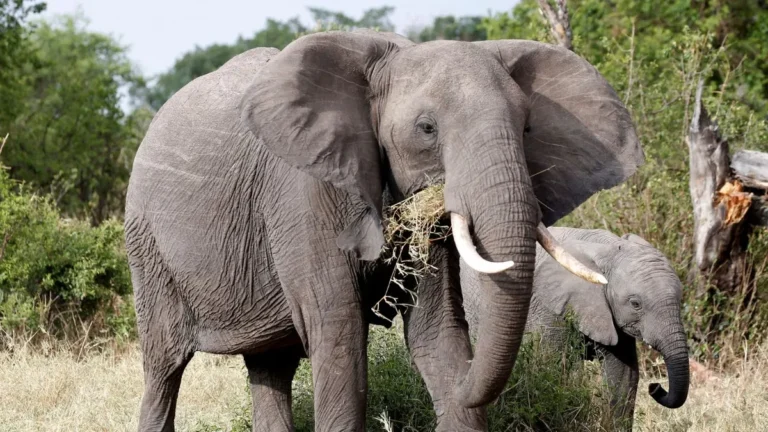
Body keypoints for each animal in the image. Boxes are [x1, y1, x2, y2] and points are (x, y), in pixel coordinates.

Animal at [124, 28, 640, 430]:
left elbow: (437, 330)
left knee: (271, 366)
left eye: (528, 126)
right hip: (147, 246)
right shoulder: (300, 191)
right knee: (164, 367)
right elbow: (339, 332)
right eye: (427, 128)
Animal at [460, 228, 688, 430]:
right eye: (635, 304)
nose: (655, 386)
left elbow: (623, 375)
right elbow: (557, 367)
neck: (607, 249)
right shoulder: (548, 308)